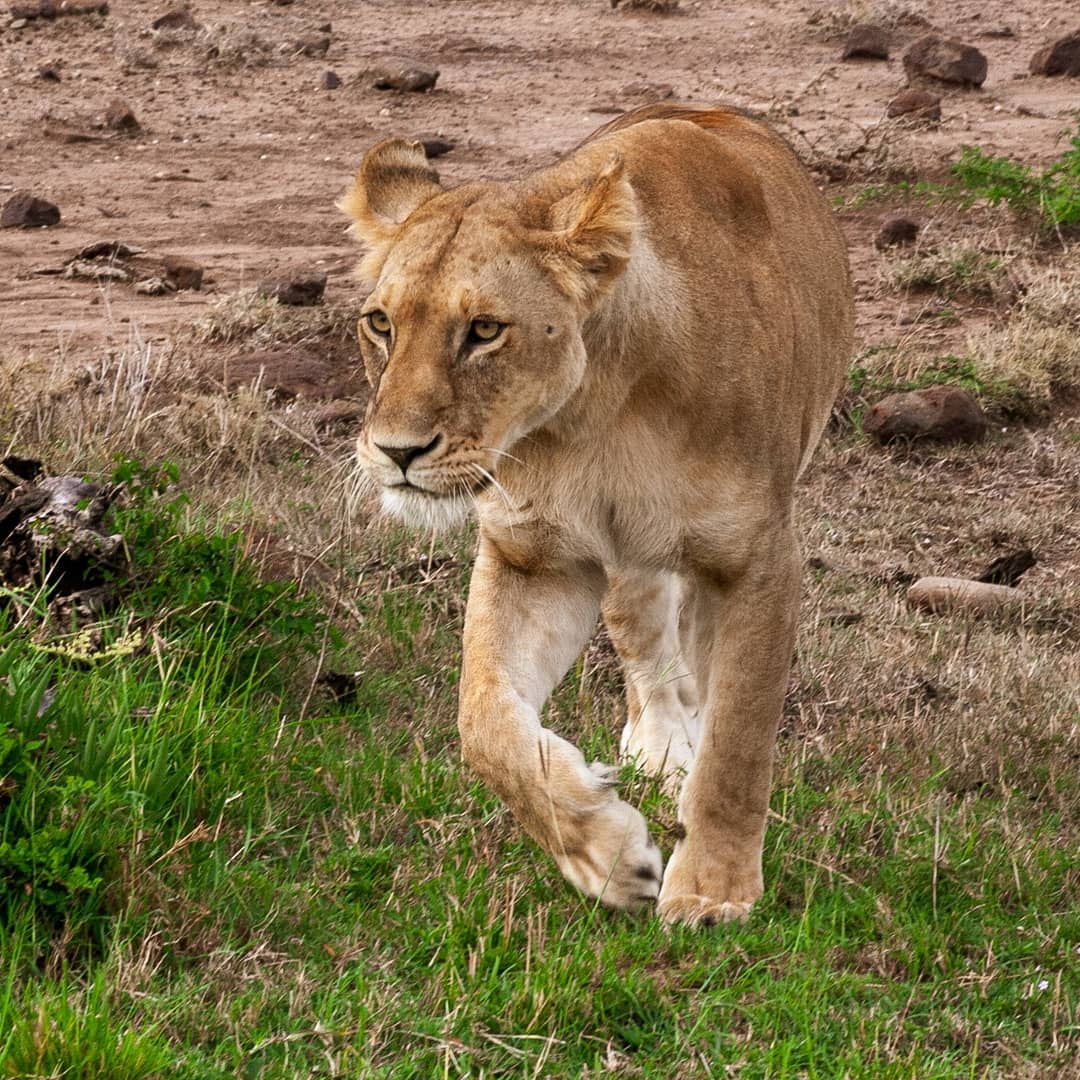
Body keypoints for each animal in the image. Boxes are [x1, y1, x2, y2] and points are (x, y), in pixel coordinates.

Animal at [340, 103, 853, 926]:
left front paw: (714, 890)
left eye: (485, 330)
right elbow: (485, 724)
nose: (397, 452)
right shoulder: (534, 558)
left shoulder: (756, 561)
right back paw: (661, 748)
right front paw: (606, 855)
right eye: (381, 324)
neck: (593, 412)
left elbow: (740, 739)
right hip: (626, 561)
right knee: (647, 641)